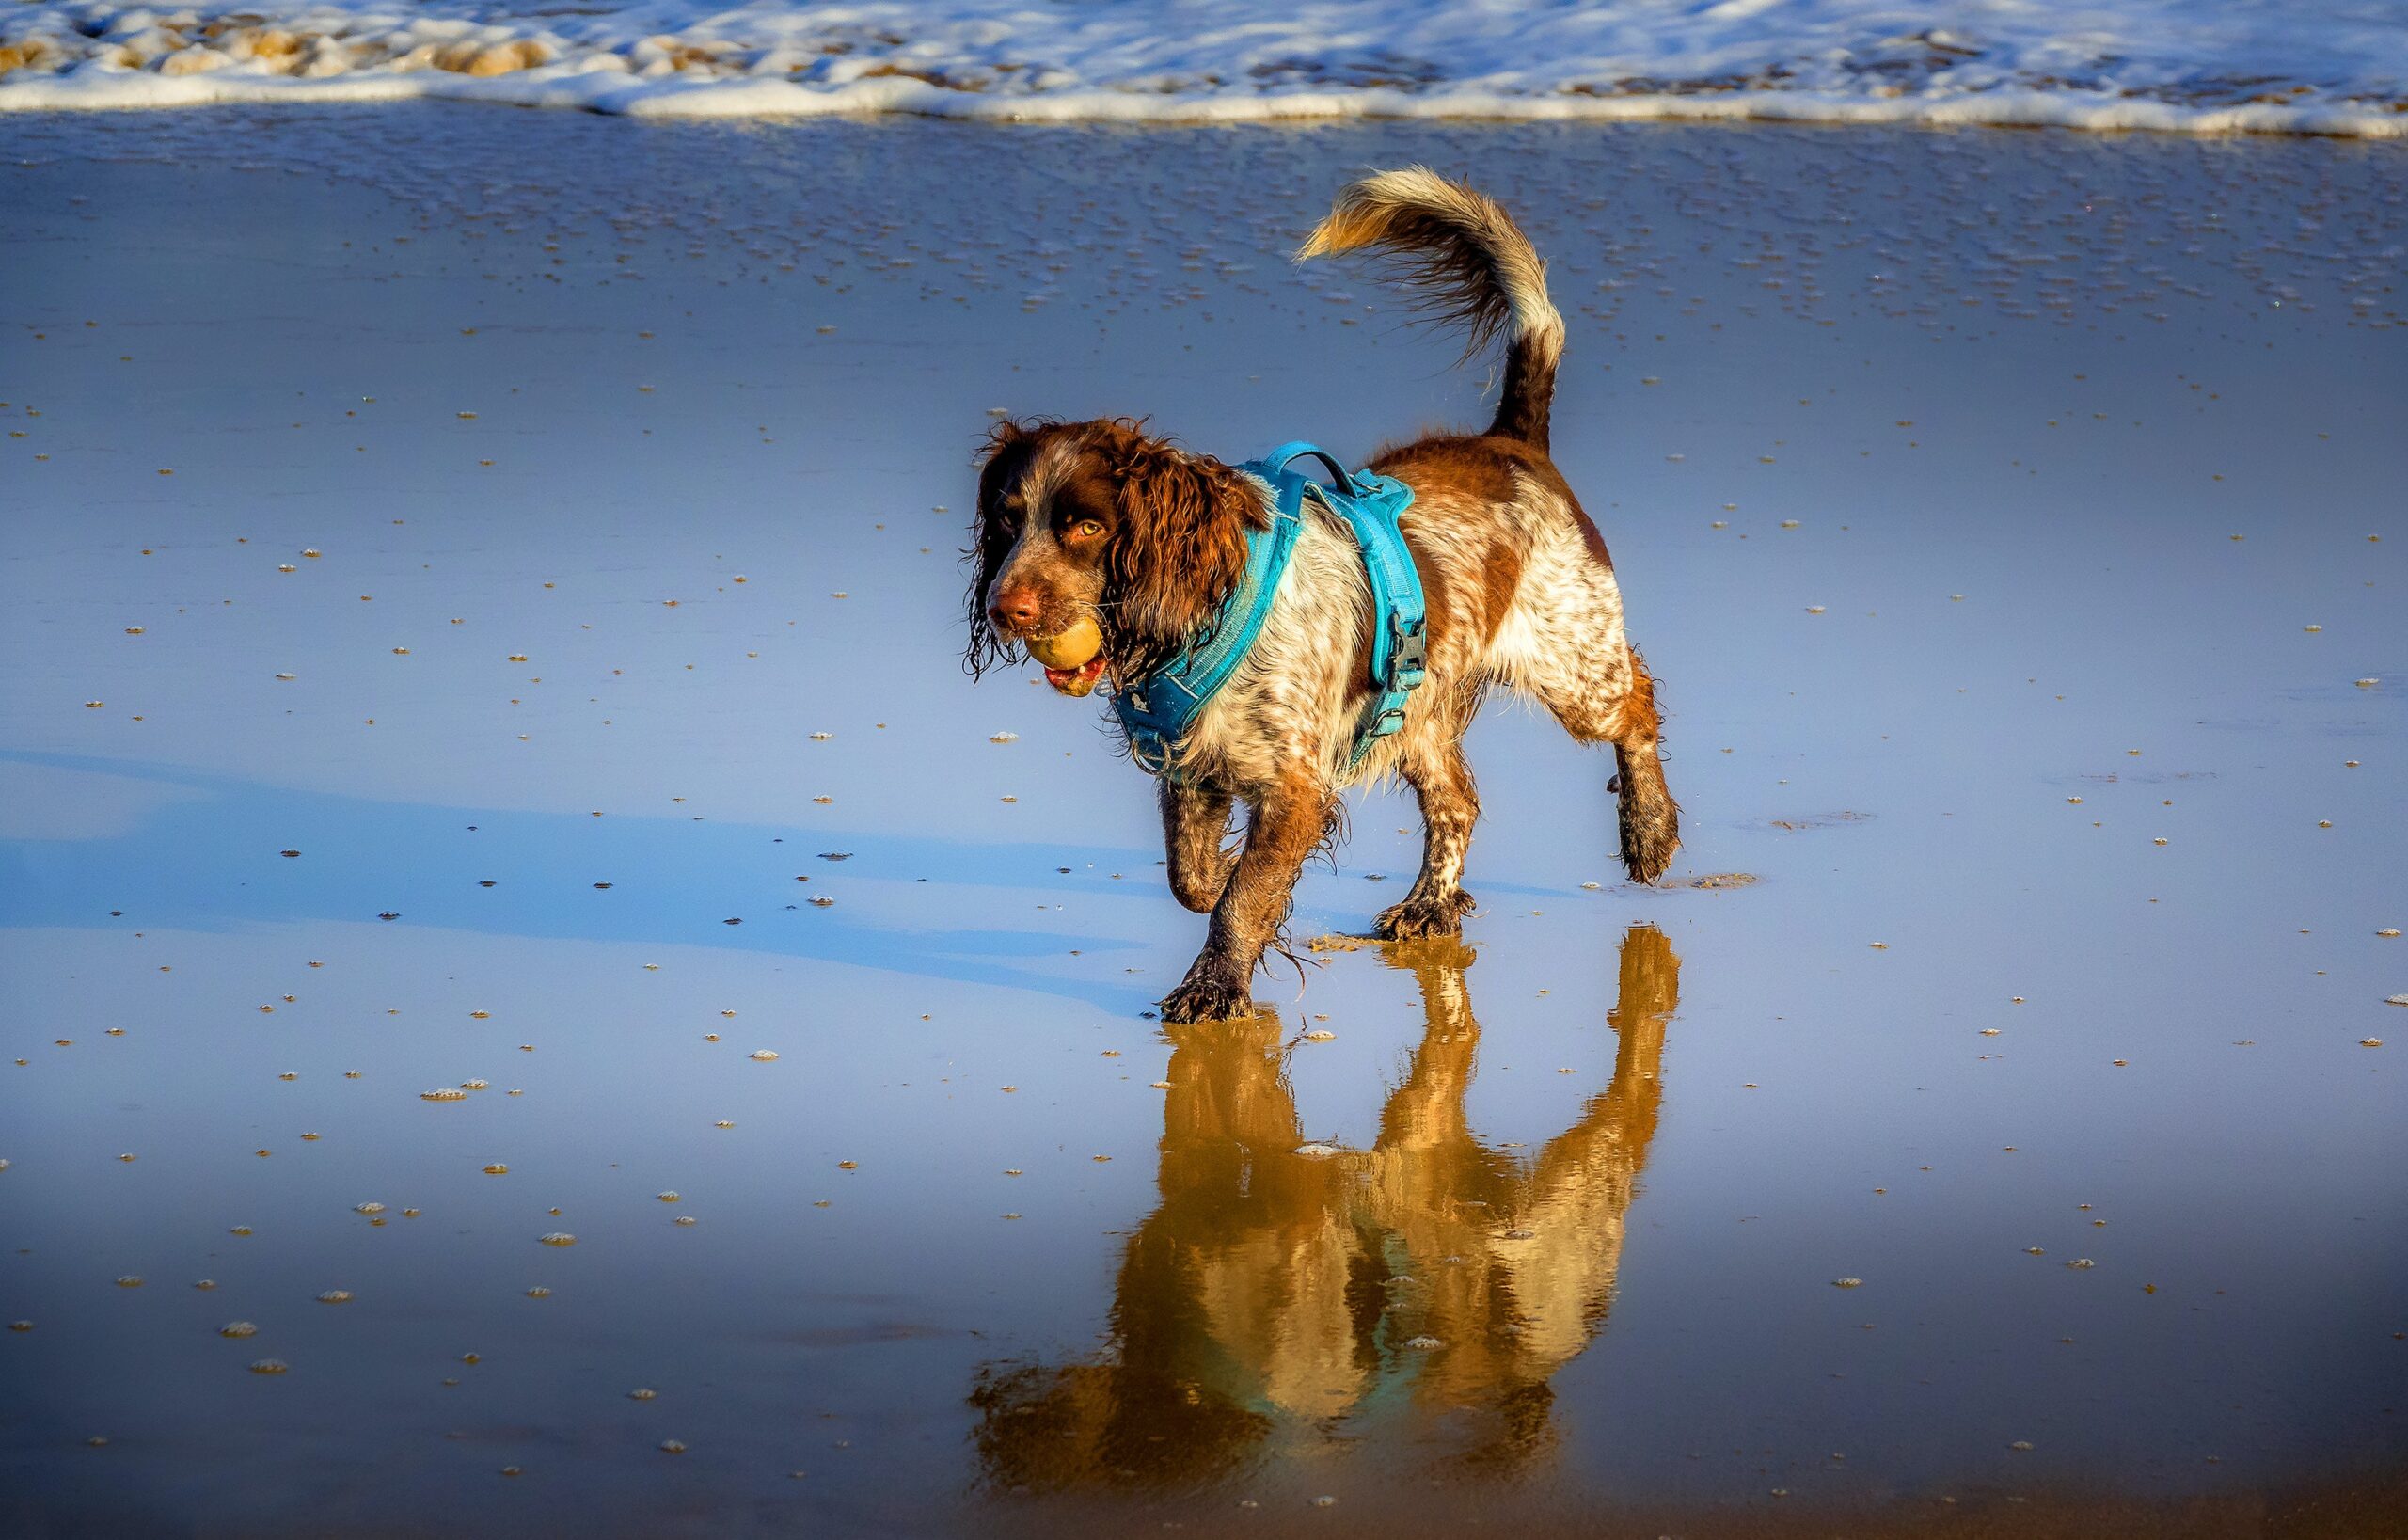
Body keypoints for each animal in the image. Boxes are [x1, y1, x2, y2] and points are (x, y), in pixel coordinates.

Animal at [968, 168, 1686, 1022]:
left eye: (1084, 525)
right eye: (1006, 521)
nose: (1006, 609)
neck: (1206, 616)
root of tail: (1512, 443)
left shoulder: (1295, 783)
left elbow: (1240, 898)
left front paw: (1214, 985)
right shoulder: (1194, 771)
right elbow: (1196, 880)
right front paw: (1232, 898)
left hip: (1575, 664)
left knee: (1636, 699)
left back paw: (1648, 830)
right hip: (1417, 711)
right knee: (1458, 800)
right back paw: (1431, 904)